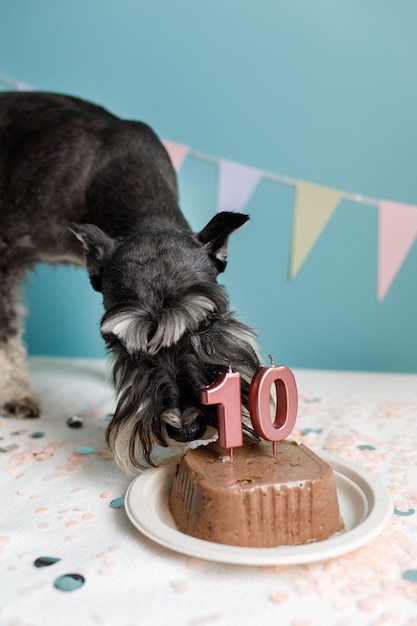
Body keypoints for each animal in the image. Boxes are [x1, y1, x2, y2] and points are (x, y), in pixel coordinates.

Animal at [0, 91, 260, 468]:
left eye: (206, 323)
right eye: (122, 343)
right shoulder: (6, 254)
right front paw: (16, 392)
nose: (185, 429)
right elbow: (7, 331)